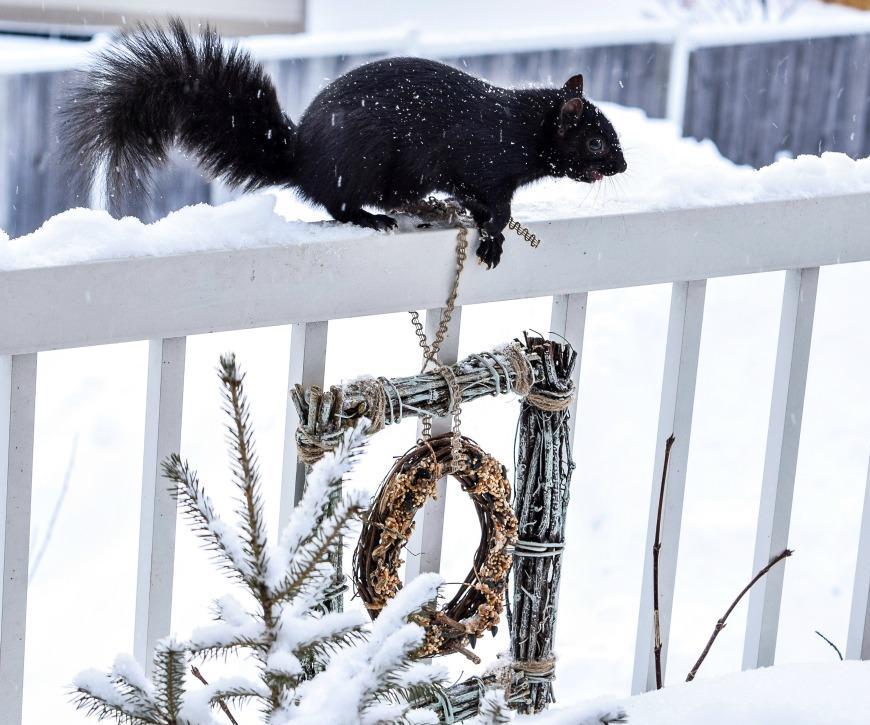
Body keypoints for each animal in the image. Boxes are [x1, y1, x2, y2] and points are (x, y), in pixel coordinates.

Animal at [63, 20, 628, 268]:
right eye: (596, 143)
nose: (623, 166)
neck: (522, 128)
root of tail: (303, 160)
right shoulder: (483, 166)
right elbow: (495, 207)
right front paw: (492, 239)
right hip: (367, 161)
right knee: (345, 203)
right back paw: (385, 215)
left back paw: (426, 207)